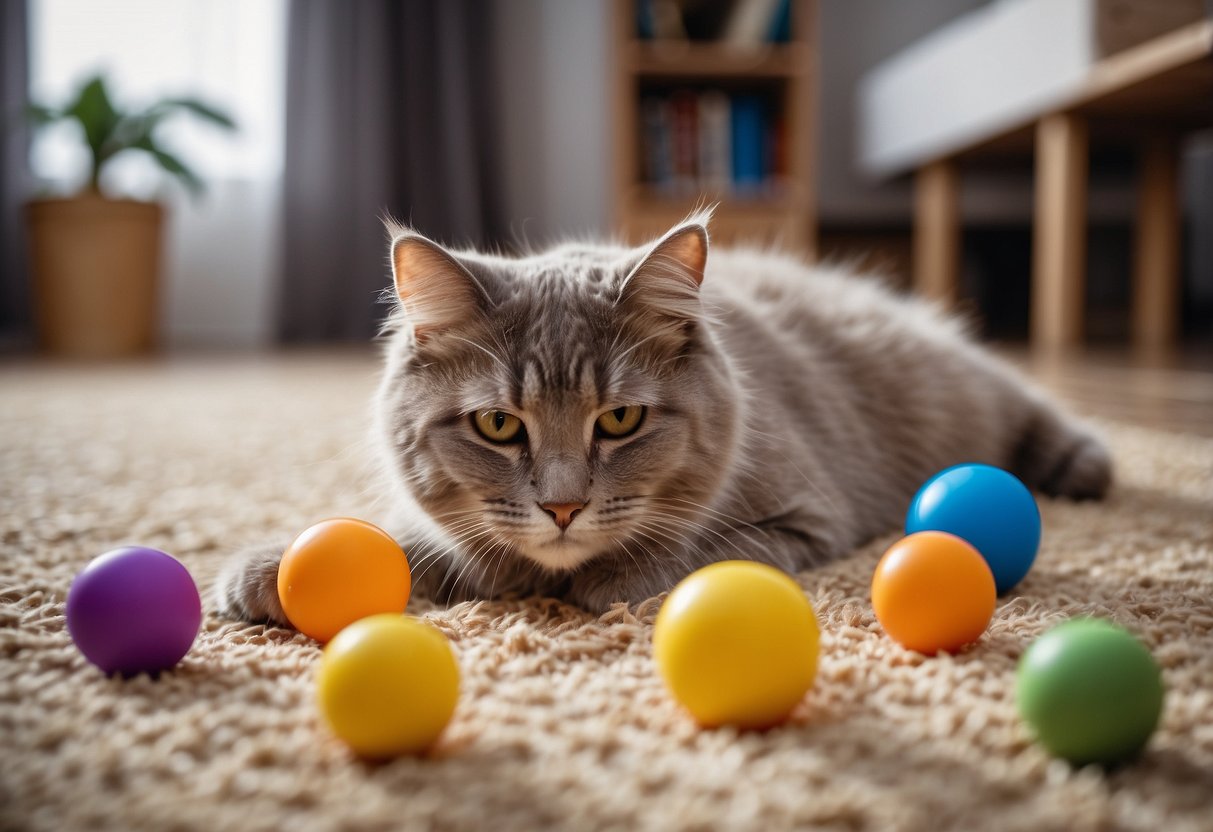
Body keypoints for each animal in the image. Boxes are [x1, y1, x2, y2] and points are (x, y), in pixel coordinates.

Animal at [215, 217, 1111, 625]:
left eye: (620, 419)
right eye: (498, 427)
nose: (562, 507)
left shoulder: (802, 521)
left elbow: (685, 551)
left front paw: (603, 581)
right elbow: (419, 543)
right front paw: (274, 569)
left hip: (964, 393)